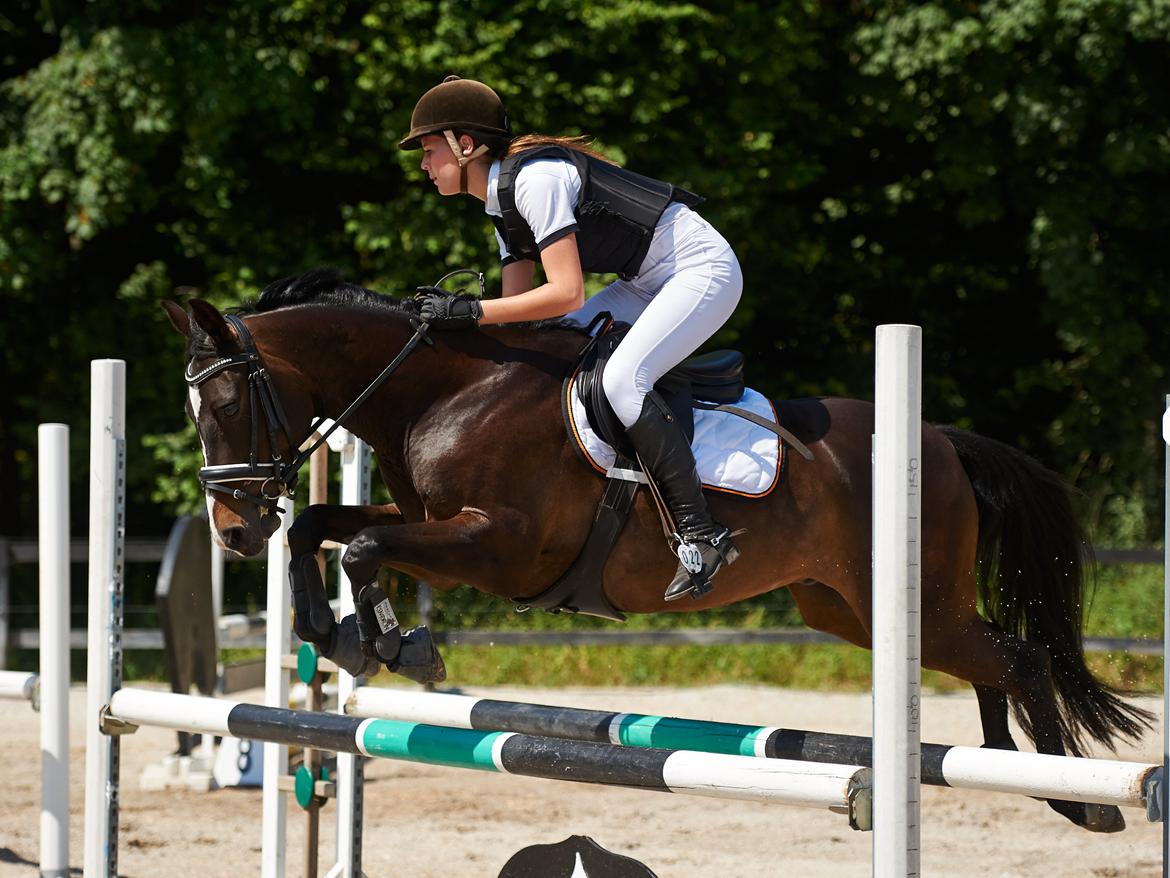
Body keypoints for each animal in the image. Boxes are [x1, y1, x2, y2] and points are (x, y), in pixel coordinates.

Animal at [161, 268, 1151, 833]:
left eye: (228, 405)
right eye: (193, 408)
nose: (234, 532)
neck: (443, 391)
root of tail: (942, 438)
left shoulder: (500, 546)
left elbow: (362, 544)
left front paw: (398, 645)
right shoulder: (431, 519)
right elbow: (324, 531)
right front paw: (334, 634)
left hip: (911, 601)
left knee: (1019, 656)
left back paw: (1078, 797)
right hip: (855, 611)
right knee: (993, 658)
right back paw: (1020, 775)